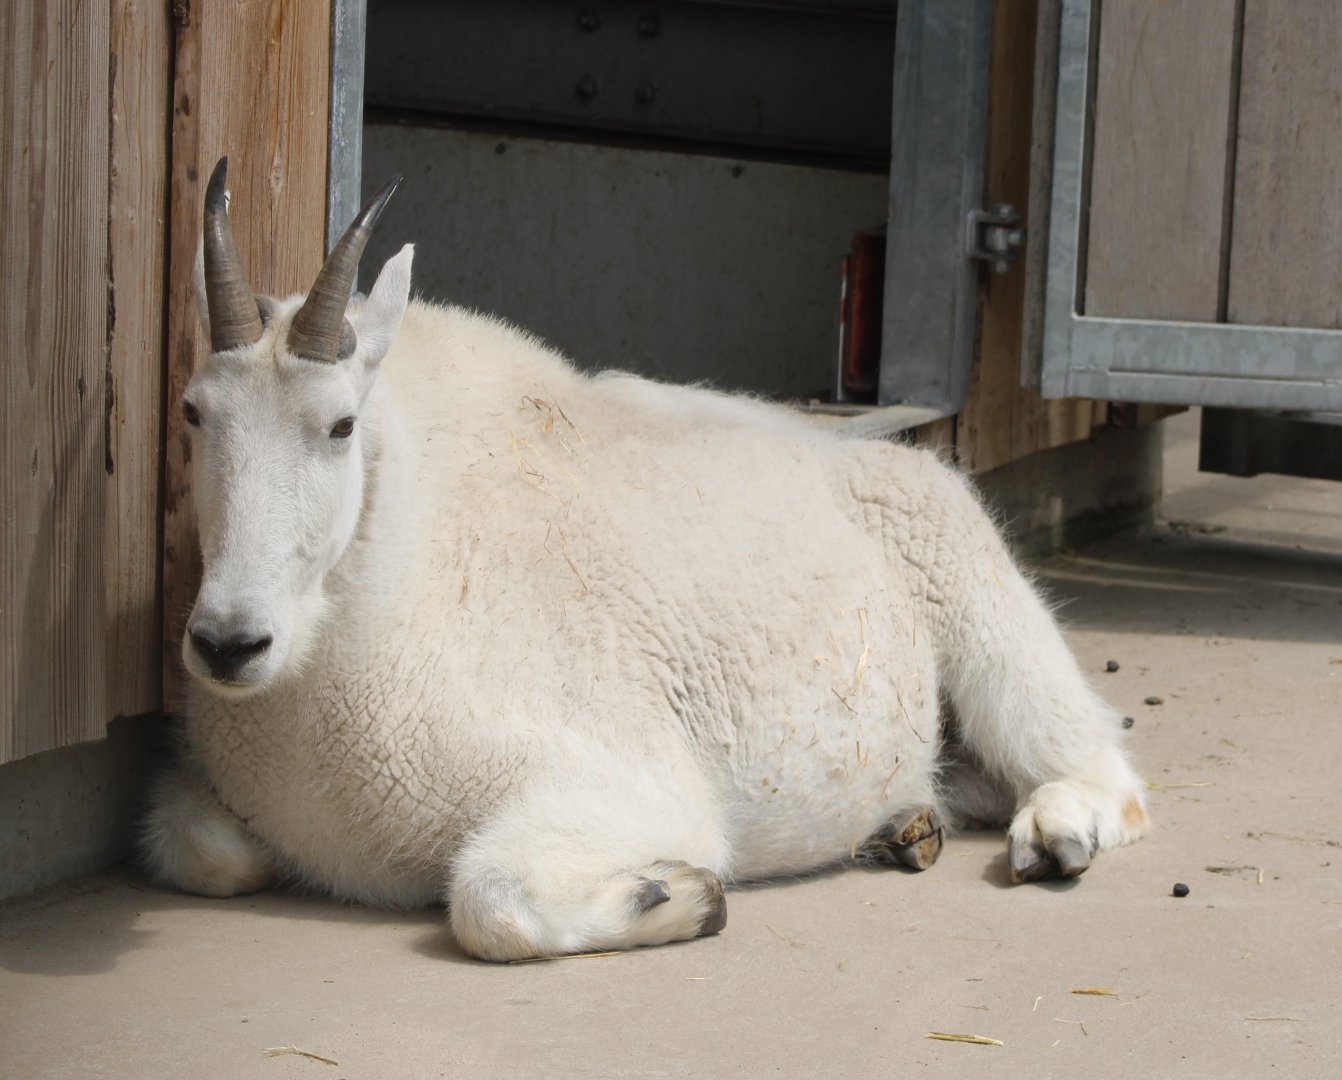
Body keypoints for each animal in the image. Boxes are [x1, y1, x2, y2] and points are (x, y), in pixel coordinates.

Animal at [141, 159, 1149, 961]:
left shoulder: (625, 788)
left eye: (340, 425)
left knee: (1104, 771)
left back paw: (1055, 832)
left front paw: (679, 895)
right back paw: (906, 826)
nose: (229, 643)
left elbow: (490, 901)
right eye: (193, 411)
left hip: (982, 609)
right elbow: (198, 850)